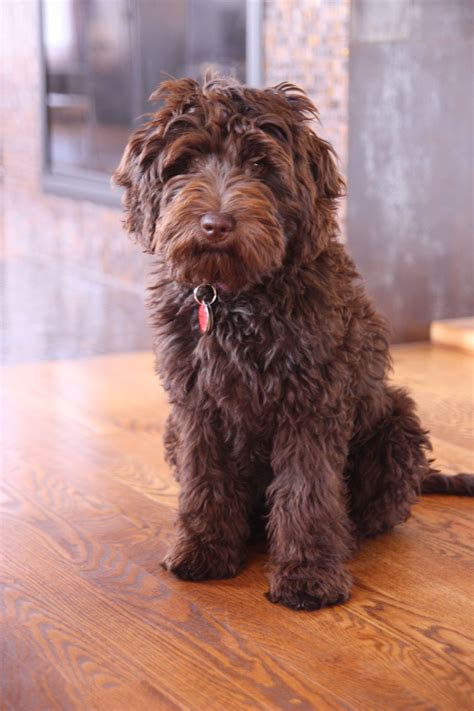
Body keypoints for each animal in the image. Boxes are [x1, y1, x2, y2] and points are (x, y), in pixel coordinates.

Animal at [113, 76, 472, 612]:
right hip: (173, 433)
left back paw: (342, 537)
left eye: (261, 166)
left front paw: (308, 574)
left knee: (365, 512)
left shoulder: (311, 403)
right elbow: (205, 480)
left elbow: (307, 490)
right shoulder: (196, 405)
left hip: (396, 425)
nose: (215, 224)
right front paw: (203, 550)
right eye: (187, 161)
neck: (235, 298)